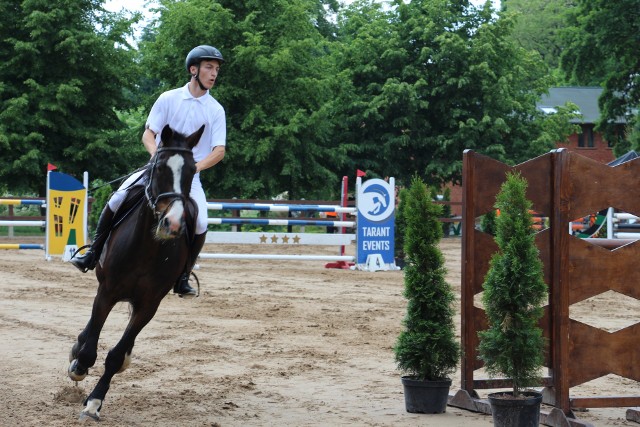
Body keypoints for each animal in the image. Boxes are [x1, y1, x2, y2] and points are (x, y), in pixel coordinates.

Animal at [68, 123, 204, 422]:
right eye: (160, 167)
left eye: (193, 170)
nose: (172, 224)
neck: (148, 247)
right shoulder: (106, 292)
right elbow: (90, 347)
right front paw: (79, 366)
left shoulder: (148, 305)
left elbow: (116, 355)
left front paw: (94, 403)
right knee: (89, 333)